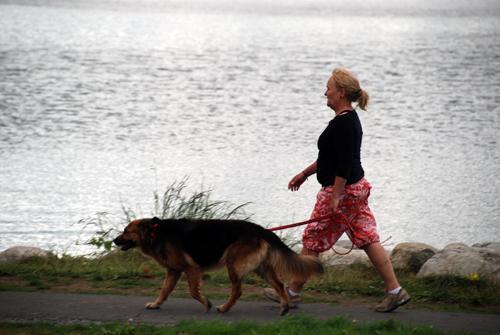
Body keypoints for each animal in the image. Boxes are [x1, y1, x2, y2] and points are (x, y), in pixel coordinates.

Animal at [112, 218, 324, 316]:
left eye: (126, 231)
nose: (114, 240)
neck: (155, 233)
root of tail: (260, 230)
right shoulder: (173, 271)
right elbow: (164, 291)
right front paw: (156, 304)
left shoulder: (190, 269)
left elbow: (193, 291)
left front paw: (207, 303)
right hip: (261, 268)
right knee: (279, 285)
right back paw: (285, 306)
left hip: (233, 265)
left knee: (237, 291)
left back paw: (224, 308)